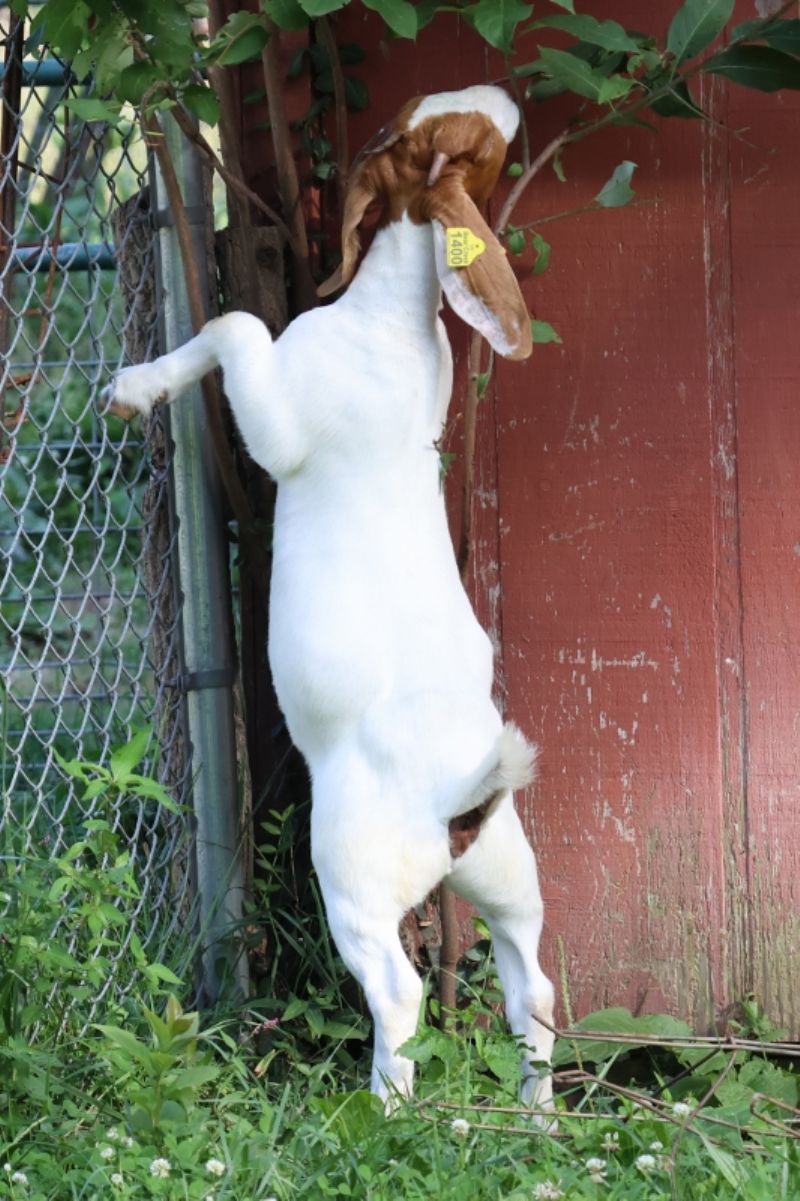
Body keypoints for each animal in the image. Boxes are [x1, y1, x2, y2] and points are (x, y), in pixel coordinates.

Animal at [103, 84, 555, 1113]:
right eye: (471, 140)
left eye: (413, 135)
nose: (504, 97)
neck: (391, 314)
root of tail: (459, 803)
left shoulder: (280, 425)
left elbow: (234, 328)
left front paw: (135, 387)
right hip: (510, 873)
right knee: (535, 988)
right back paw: (539, 1118)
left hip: (352, 879)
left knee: (401, 993)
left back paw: (384, 1110)